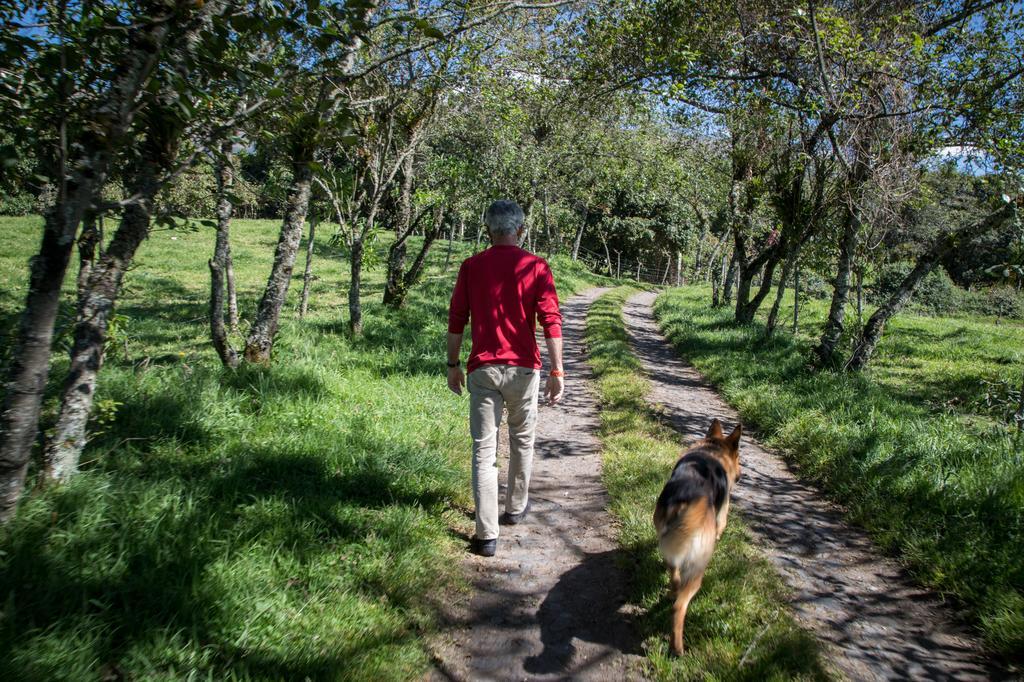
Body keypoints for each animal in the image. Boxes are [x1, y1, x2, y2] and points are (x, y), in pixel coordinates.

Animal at [651, 413, 741, 655]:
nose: (741, 474)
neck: (712, 449)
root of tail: (689, 497)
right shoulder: (722, 515)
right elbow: (721, 527)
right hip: (696, 570)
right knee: (679, 606)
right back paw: (678, 648)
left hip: (671, 552)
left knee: (674, 578)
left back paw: (671, 592)